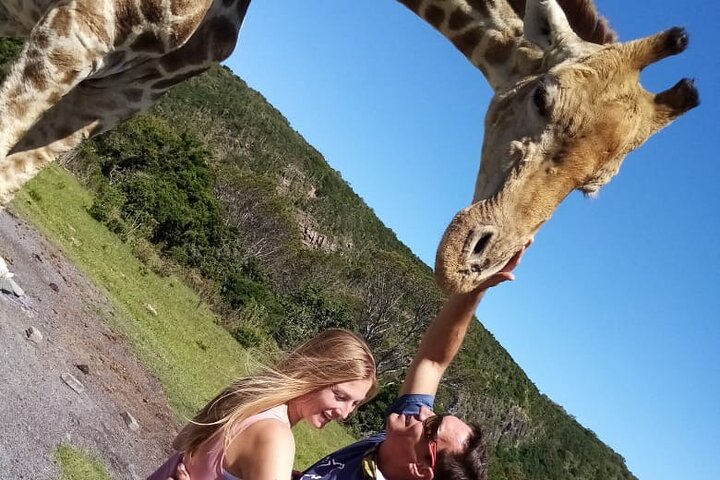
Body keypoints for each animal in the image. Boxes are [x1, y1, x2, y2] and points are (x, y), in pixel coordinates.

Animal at [0, 0, 698, 294]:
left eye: (594, 189)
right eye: (544, 99)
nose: (474, 263)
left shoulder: (128, 89)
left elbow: (16, 173)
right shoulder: (78, 30)